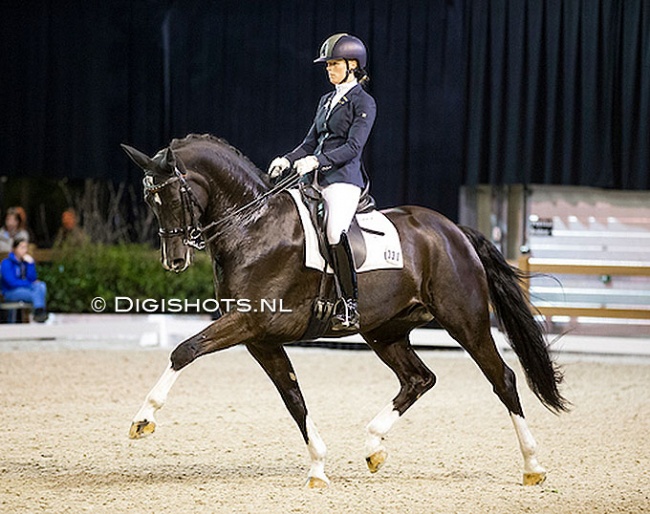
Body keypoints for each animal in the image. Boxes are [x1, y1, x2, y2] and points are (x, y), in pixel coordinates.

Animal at [121, 132, 568, 484]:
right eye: (148, 199)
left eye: (172, 194)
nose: (174, 260)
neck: (254, 226)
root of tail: (454, 230)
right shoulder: (260, 339)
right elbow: (293, 398)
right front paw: (318, 467)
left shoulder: (247, 321)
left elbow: (185, 350)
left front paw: (144, 419)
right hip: (384, 331)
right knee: (419, 379)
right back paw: (373, 446)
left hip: (465, 321)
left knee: (503, 379)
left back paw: (532, 466)